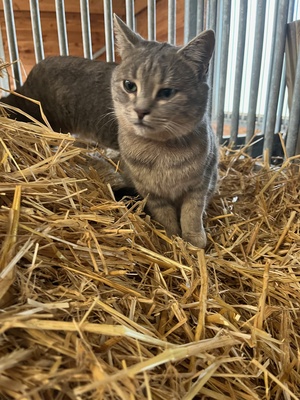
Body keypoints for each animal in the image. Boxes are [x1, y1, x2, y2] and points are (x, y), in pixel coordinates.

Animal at [0, 15, 218, 247]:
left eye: (167, 92)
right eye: (130, 85)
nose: (141, 110)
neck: (161, 152)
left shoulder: (200, 184)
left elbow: (192, 213)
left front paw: (193, 241)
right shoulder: (150, 193)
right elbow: (166, 217)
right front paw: (172, 238)